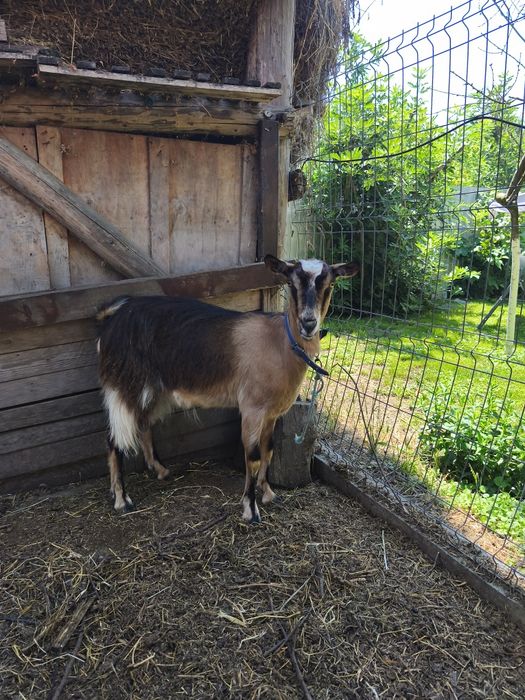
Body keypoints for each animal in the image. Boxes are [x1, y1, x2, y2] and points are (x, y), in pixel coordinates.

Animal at [96, 255, 358, 522]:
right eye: (291, 284)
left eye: (330, 285)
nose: (308, 323)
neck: (280, 343)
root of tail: (114, 316)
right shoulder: (252, 408)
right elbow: (253, 457)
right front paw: (250, 509)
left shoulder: (271, 413)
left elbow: (269, 450)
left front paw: (268, 492)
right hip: (126, 385)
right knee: (114, 438)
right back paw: (122, 499)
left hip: (152, 390)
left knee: (144, 426)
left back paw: (160, 470)